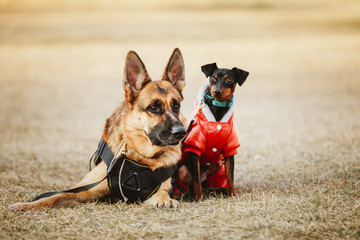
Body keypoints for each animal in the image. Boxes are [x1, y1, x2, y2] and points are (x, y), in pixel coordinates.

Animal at [9, 48, 187, 210]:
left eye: (176, 106)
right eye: (153, 107)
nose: (181, 132)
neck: (139, 156)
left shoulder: (155, 190)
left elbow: (162, 192)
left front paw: (166, 200)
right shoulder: (84, 190)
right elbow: (54, 197)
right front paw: (24, 206)